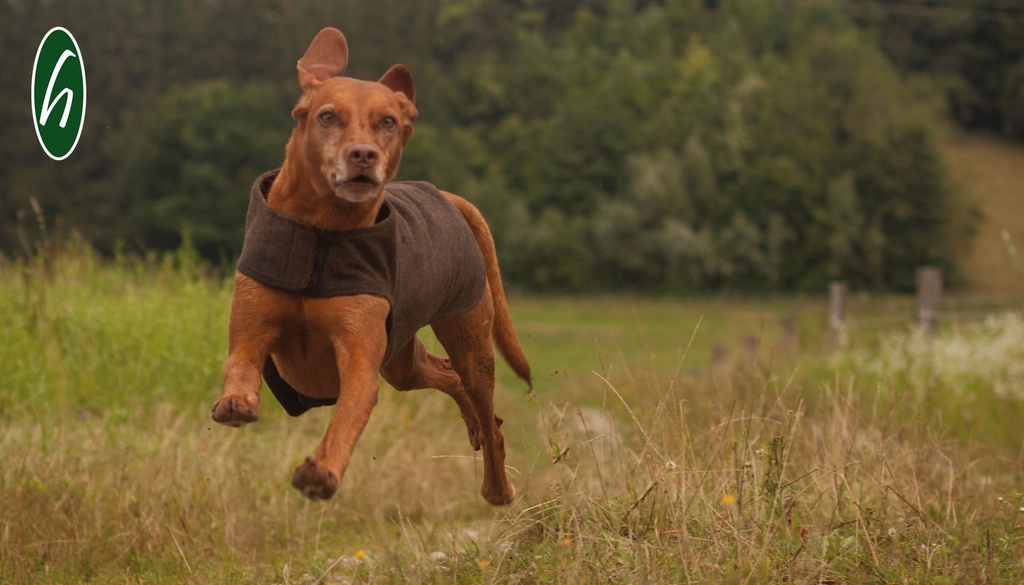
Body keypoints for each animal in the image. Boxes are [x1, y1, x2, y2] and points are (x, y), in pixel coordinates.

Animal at [210, 27, 532, 506]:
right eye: (327, 116)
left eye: (388, 122)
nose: (364, 155)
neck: (322, 234)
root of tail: (444, 196)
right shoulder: (251, 332)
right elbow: (240, 367)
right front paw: (237, 402)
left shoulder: (360, 361)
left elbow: (346, 418)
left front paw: (322, 471)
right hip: (402, 363)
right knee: (448, 376)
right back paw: (474, 426)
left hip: (469, 342)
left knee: (480, 401)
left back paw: (497, 485)